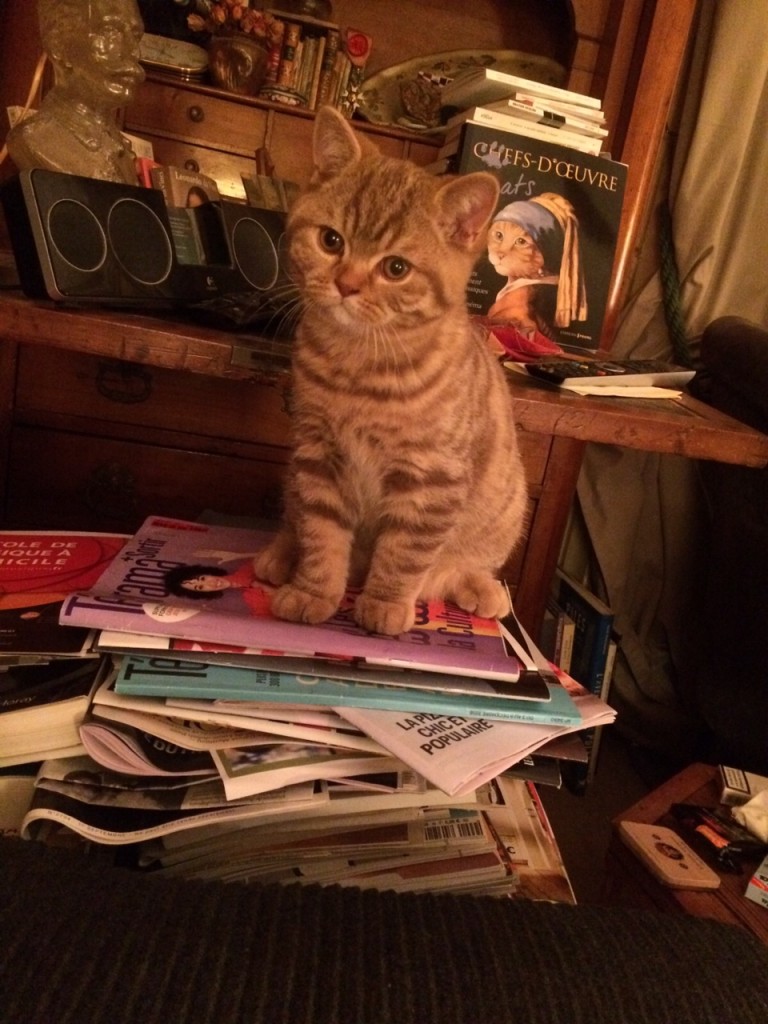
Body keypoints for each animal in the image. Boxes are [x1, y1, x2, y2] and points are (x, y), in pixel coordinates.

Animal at [256, 103, 532, 630]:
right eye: (331, 240)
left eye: (396, 269)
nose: (346, 284)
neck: (359, 366)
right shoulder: (316, 457)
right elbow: (321, 533)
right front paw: (314, 589)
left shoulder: (431, 476)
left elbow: (405, 551)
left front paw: (384, 602)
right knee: (293, 519)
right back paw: (278, 556)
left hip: (506, 507)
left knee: (462, 563)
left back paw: (480, 588)